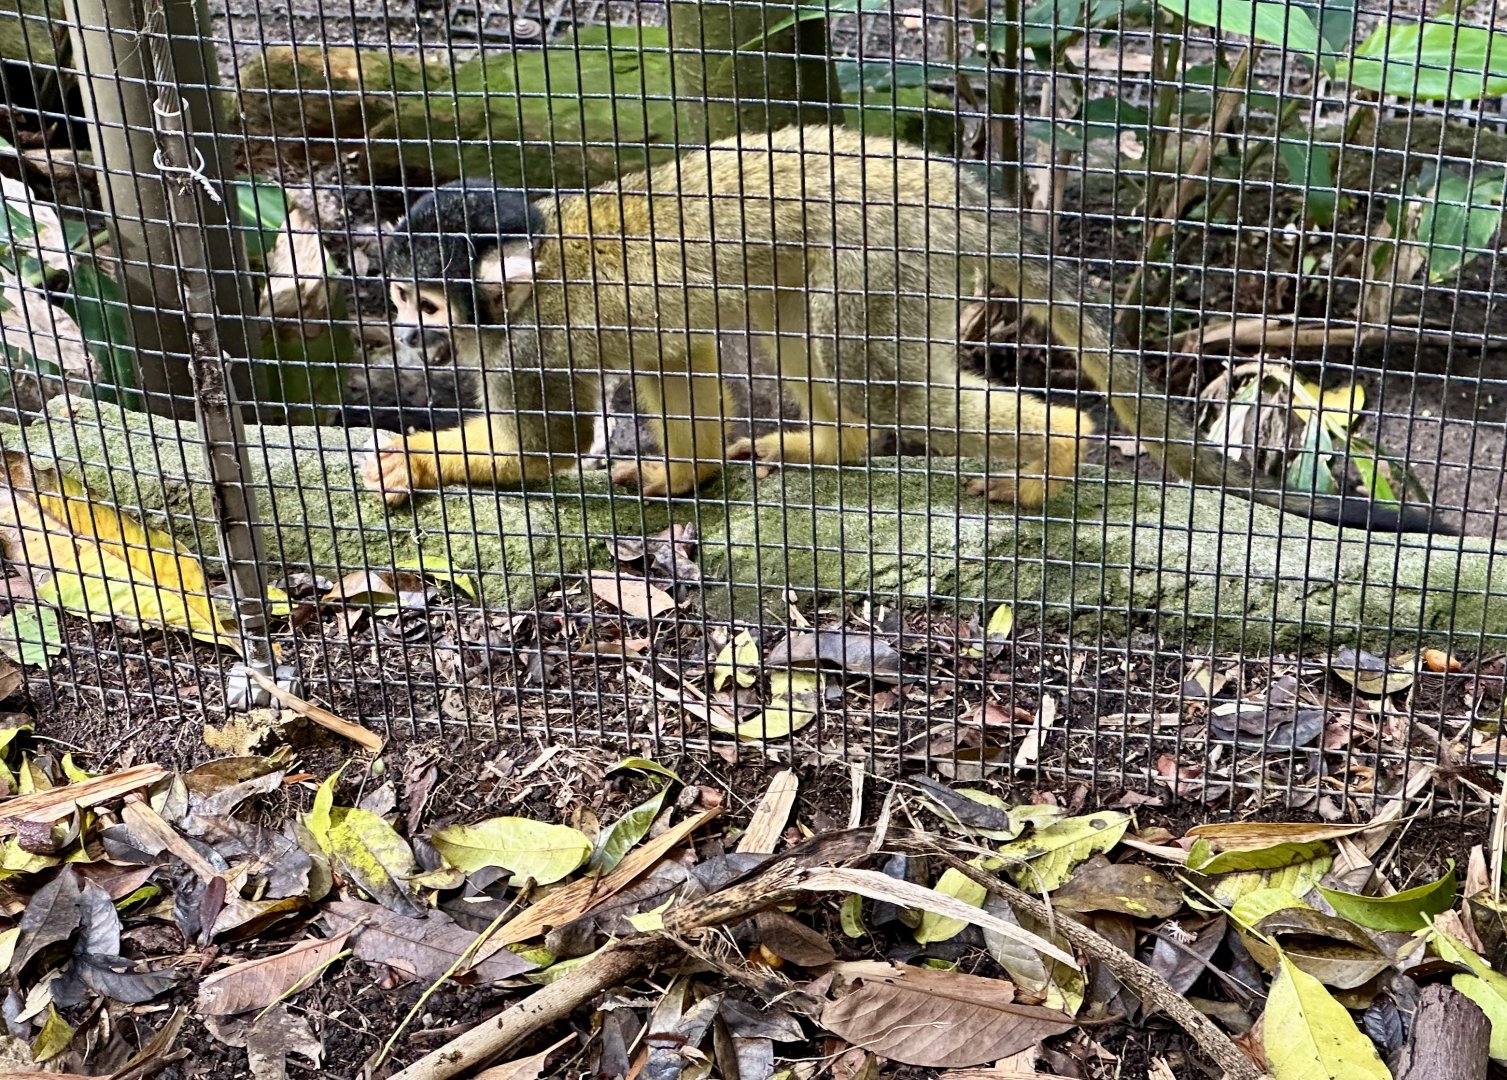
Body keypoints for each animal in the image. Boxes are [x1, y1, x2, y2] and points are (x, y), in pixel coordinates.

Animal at [363, 126, 1448, 535]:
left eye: (426, 305)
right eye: (397, 300)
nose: (405, 338)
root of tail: (954, 191)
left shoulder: (527, 344)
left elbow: (540, 449)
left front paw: (419, 461)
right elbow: (680, 348)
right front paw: (685, 467)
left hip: (889, 253)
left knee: (890, 376)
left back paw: (1053, 458)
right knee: (795, 324)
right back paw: (836, 441)